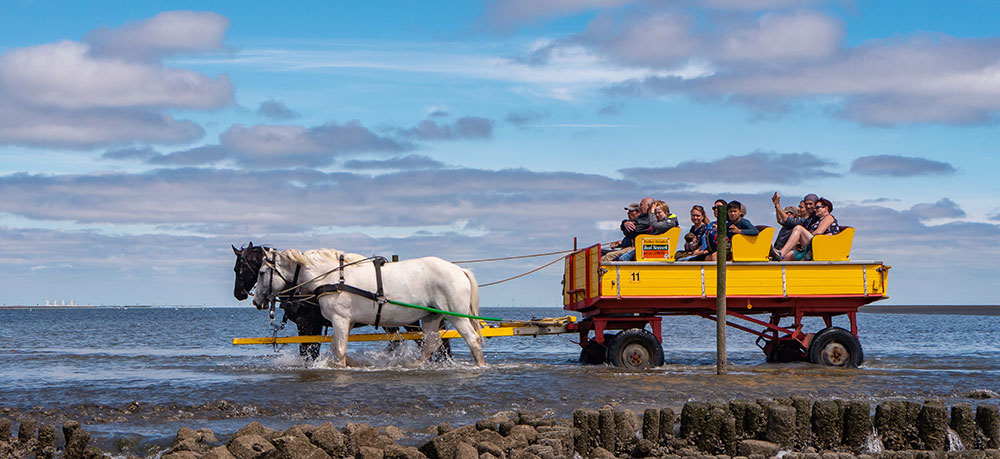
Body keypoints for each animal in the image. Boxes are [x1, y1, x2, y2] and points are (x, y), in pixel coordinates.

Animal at [250, 248, 484, 366]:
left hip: (456, 315)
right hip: (430, 317)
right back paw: (416, 365)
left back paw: (481, 364)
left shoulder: (340, 320)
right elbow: (335, 348)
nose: (256, 301)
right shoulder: (342, 323)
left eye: (261, 272)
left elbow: (339, 349)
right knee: (431, 343)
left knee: (471, 339)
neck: (334, 277)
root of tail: (459, 270)